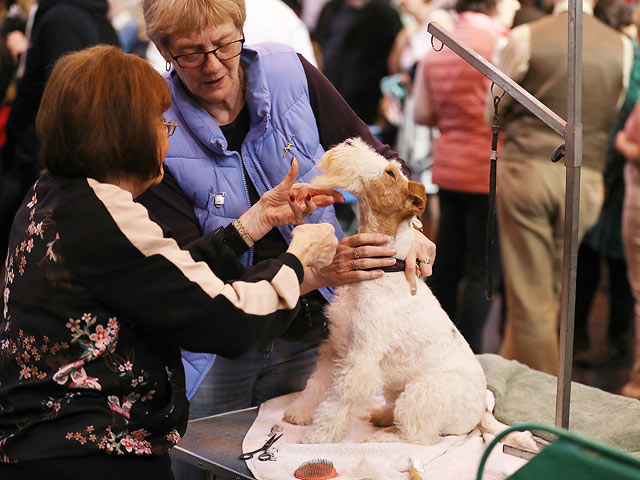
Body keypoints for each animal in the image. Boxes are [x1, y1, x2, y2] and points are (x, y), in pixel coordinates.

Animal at [284, 139, 536, 450]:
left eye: (391, 173)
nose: (348, 143)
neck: (386, 268)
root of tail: (481, 412)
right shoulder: (336, 347)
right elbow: (316, 386)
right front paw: (299, 414)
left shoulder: (359, 361)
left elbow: (336, 404)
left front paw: (315, 439)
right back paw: (381, 416)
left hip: (421, 394)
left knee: (417, 436)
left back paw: (379, 437)